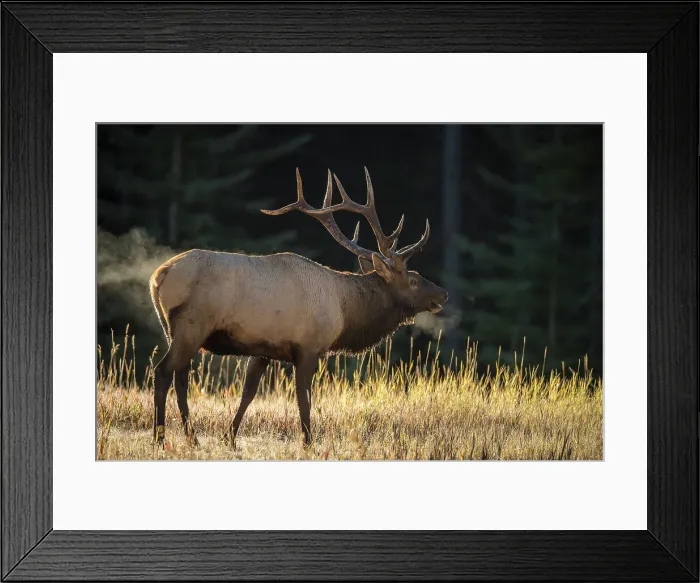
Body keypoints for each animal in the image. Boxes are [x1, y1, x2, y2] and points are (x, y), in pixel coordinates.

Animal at [149, 167, 448, 448]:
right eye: (413, 279)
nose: (443, 294)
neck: (344, 311)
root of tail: (160, 275)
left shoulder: (264, 349)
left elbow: (248, 393)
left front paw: (229, 438)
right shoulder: (308, 347)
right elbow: (304, 399)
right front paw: (308, 442)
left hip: (172, 329)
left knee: (180, 378)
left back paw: (192, 438)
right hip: (191, 325)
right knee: (163, 371)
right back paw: (160, 439)